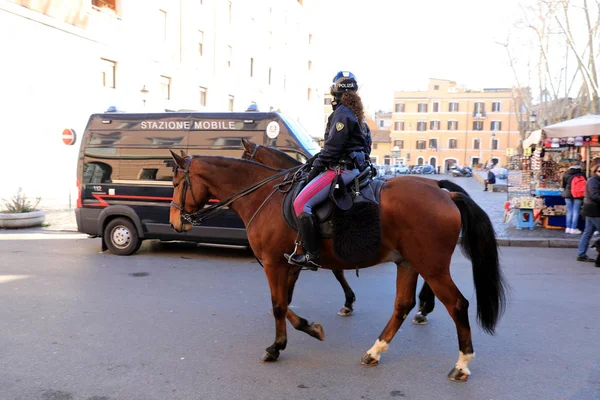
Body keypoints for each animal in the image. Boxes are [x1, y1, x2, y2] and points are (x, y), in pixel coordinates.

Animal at [240, 139, 468, 324]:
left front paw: (346, 302)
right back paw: (424, 307)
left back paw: (424, 309)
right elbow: (335, 271)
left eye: (243, 156)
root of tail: (440, 188)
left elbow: (327, 272)